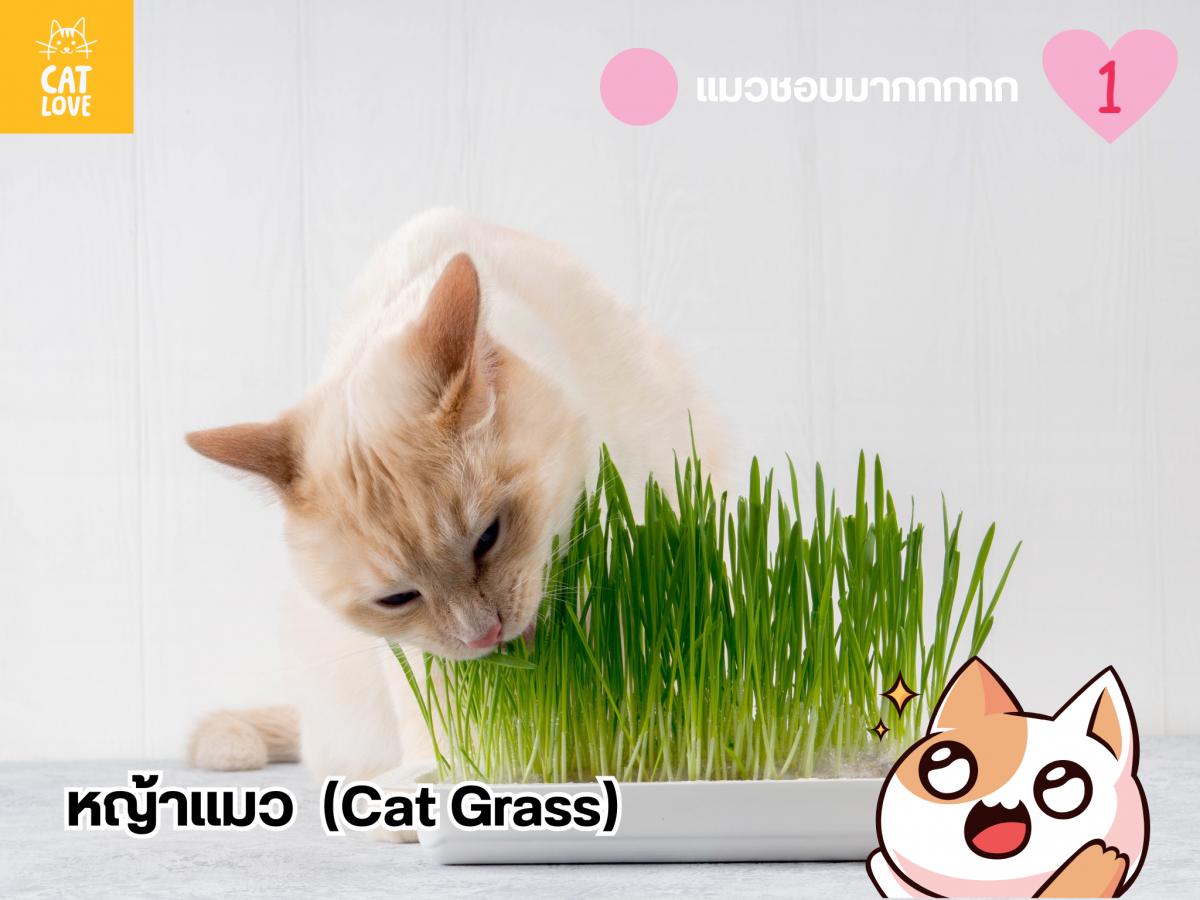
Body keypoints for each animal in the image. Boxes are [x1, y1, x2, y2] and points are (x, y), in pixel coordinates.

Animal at [184, 209, 727, 796]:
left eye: (488, 537)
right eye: (397, 599)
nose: (484, 634)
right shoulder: (418, 652)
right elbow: (444, 726)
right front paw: (448, 779)